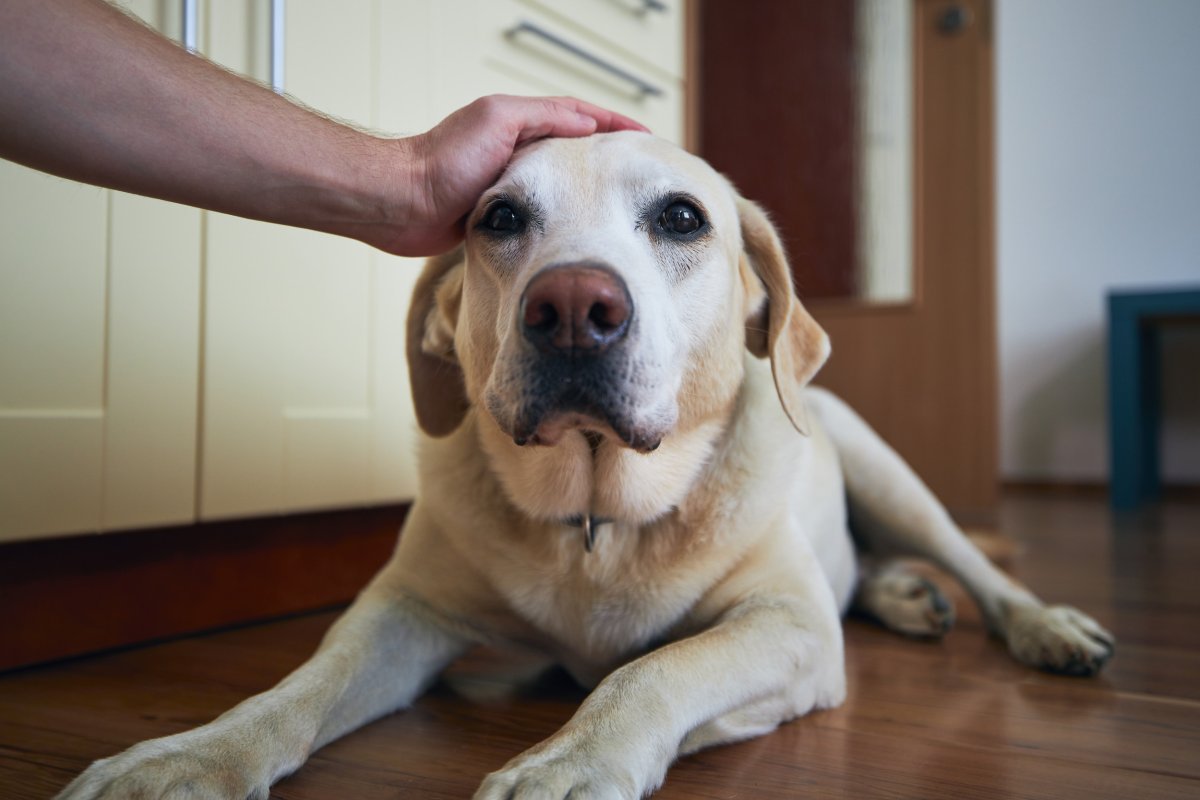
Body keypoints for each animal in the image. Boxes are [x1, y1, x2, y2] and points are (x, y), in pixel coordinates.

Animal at [60, 134, 1113, 796]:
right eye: (497, 217)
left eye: (683, 218)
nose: (572, 307)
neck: (596, 518)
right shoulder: (406, 609)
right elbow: (296, 688)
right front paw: (186, 758)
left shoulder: (792, 629)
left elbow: (650, 673)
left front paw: (569, 764)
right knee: (872, 573)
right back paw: (902, 596)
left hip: (886, 471)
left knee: (974, 570)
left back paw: (1042, 626)